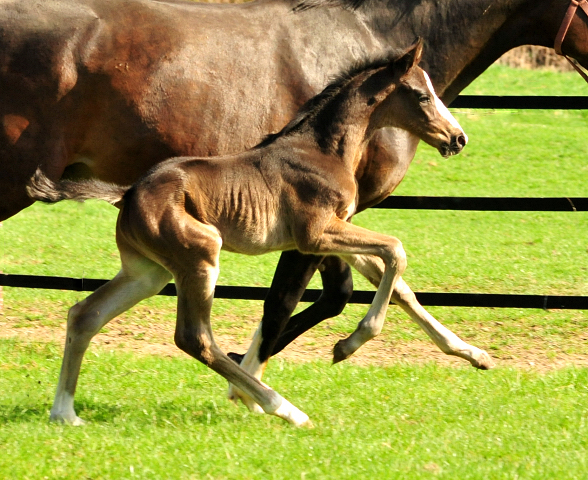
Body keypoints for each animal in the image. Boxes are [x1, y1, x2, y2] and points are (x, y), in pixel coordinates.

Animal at [28, 40, 468, 424]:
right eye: (422, 96)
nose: (458, 138)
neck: (322, 150)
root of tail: (128, 192)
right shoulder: (315, 234)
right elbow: (396, 249)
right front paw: (350, 343)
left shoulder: (334, 231)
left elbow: (397, 282)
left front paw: (470, 354)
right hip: (201, 254)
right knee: (195, 338)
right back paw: (283, 408)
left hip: (148, 272)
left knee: (85, 313)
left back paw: (64, 413)